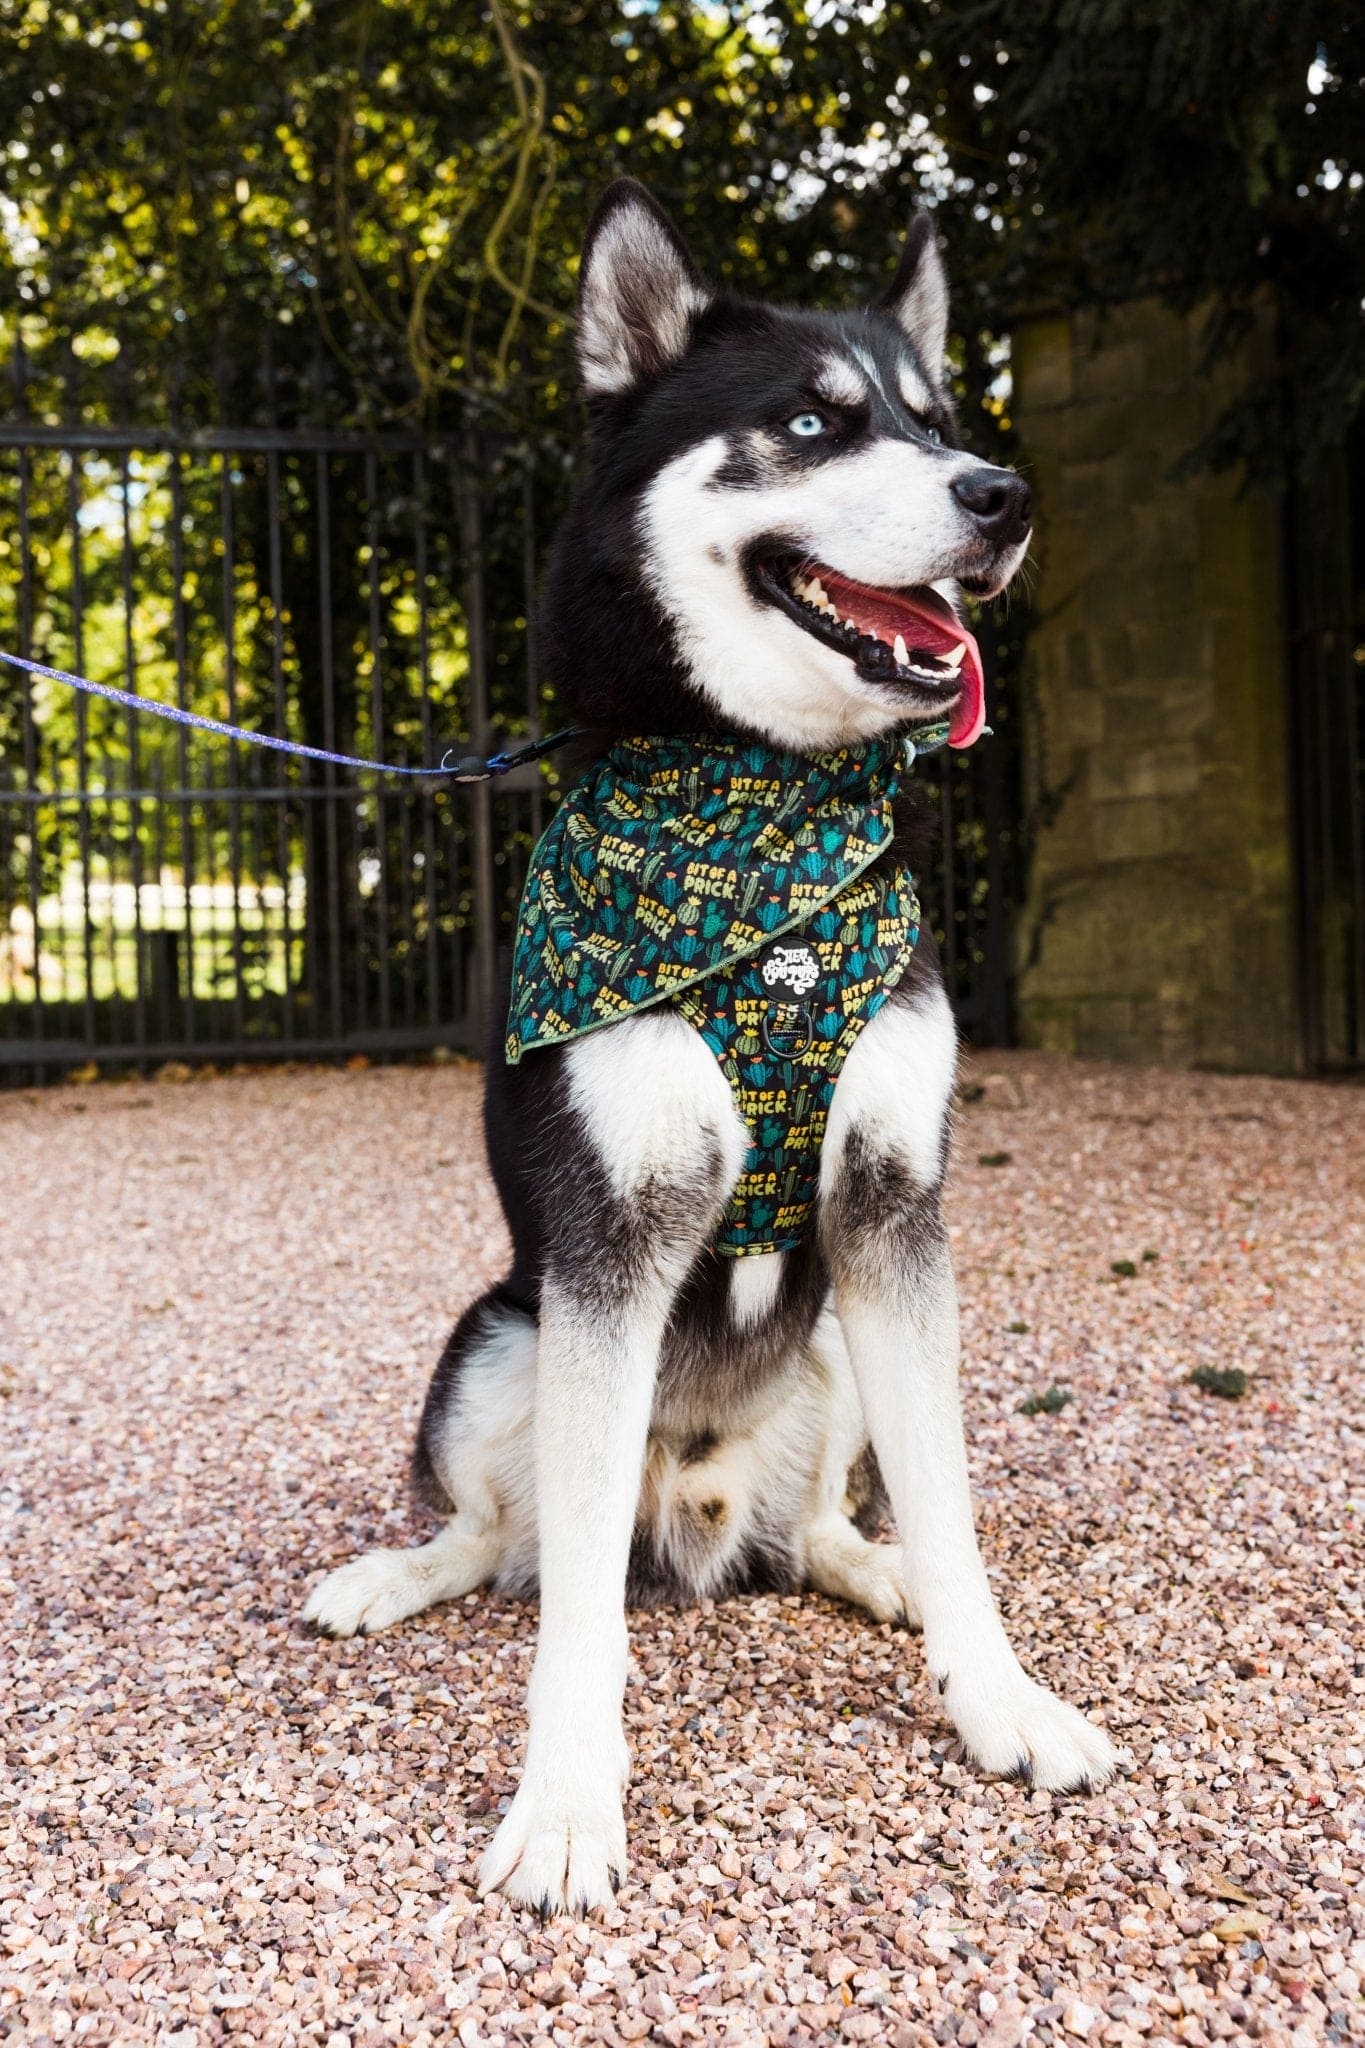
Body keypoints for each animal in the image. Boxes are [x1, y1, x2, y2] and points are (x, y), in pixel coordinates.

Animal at [309, 180, 1121, 1916]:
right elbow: (569, 1619)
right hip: (496, 1335)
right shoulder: (608, 1240)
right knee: (506, 1543)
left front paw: (1000, 1698)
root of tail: (695, 1507)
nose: (1002, 494)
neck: (760, 814)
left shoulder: (893, 1211)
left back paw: (874, 1576)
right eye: (812, 422)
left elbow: (956, 1507)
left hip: (829, 1352)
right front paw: (564, 1799)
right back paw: (392, 1576)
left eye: (934, 415)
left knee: (813, 1528)